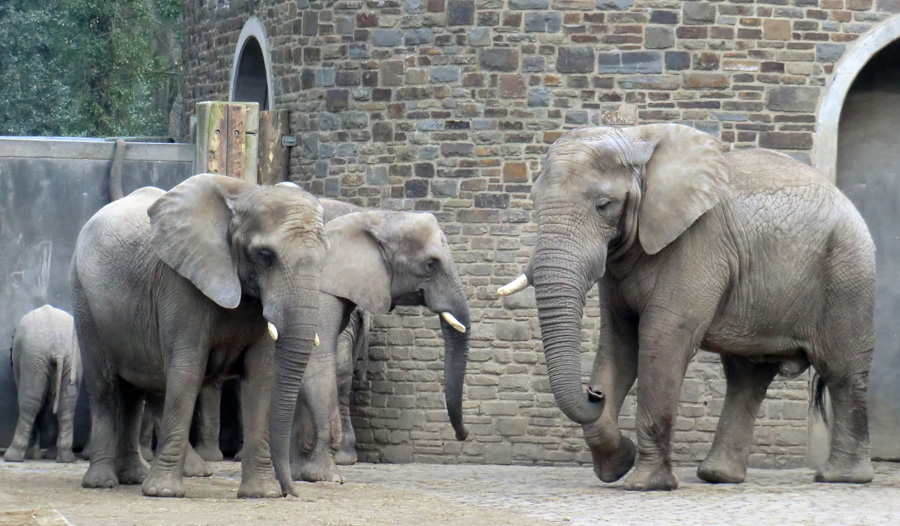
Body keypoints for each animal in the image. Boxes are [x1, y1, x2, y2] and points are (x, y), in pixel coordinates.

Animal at [70, 175, 328, 502]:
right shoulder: (180, 283)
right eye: (265, 256)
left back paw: (133, 477)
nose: (292, 492)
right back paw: (102, 482)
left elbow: (260, 378)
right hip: (83, 298)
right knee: (104, 388)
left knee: (133, 394)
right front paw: (164, 492)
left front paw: (261, 494)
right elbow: (187, 370)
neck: (245, 193)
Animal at [290, 199, 474, 486]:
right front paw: (327, 477)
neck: (373, 217)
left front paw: (301, 475)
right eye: (430, 265)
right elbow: (314, 359)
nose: (463, 436)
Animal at [496, 122, 876, 490]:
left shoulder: (698, 244)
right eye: (534, 201)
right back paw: (718, 476)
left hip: (848, 273)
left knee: (841, 371)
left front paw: (644, 485)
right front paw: (618, 464)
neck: (636, 139)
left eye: (604, 205)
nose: (594, 392)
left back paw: (841, 478)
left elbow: (661, 339)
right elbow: (619, 342)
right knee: (746, 377)